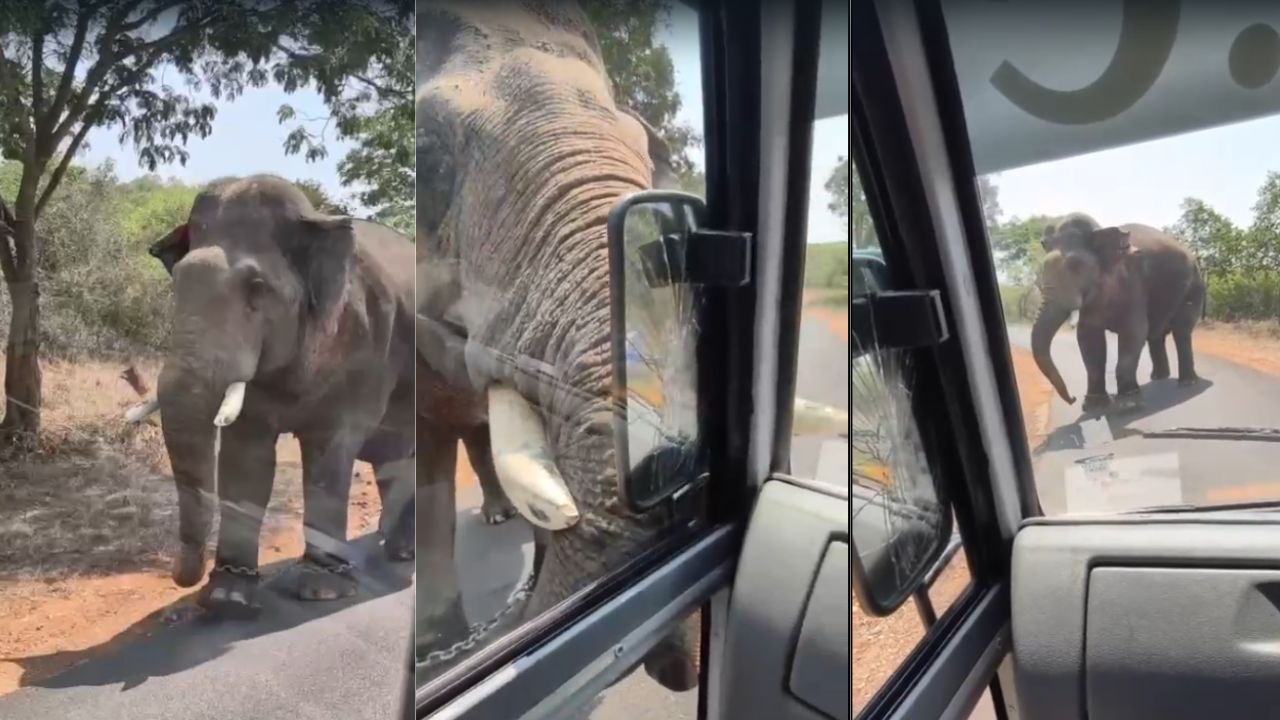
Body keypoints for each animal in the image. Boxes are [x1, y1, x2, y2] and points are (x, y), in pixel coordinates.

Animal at [143, 174, 417, 619]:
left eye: (257, 288)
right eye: (177, 281)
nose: (178, 576)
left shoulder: (363, 344)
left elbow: (329, 453)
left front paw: (323, 592)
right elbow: (245, 457)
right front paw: (229, 599)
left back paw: (403, 553)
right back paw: (399, 548)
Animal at [1031, 212, 1205, 414]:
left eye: (1076, 266)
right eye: (1042, 269)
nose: (1072, 399)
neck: (1101, 231)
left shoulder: (1133, 282)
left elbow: (1133, 333)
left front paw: (1129, 405)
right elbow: (1088, 338)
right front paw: (1094, 406)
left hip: (1194, 288)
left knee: (1182, 331)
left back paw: (1187, 383)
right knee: (1156, 335)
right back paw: (1159, 378)